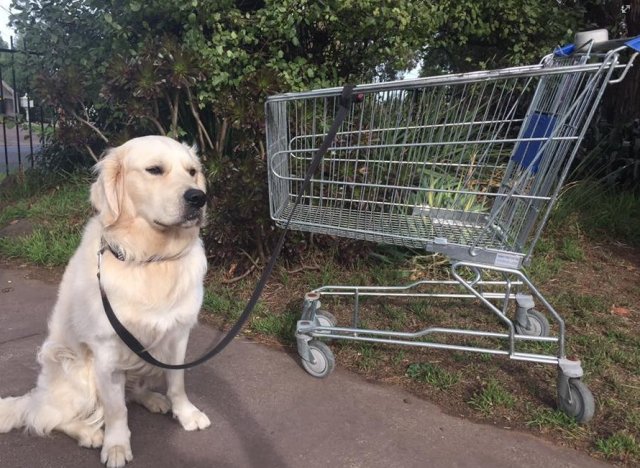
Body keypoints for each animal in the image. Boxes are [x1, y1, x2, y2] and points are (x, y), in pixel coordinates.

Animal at [0, 134, 211, 464]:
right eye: (154, 170)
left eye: (192, 171)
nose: (198, 198)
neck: (151, 259)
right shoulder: (106, 352)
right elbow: (115, 410)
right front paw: (116, 445)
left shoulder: (178, 335)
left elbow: (177, 383)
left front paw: (186, 414)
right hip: (76, 371)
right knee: (46, 417)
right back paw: (88, 433)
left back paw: (153, 399)